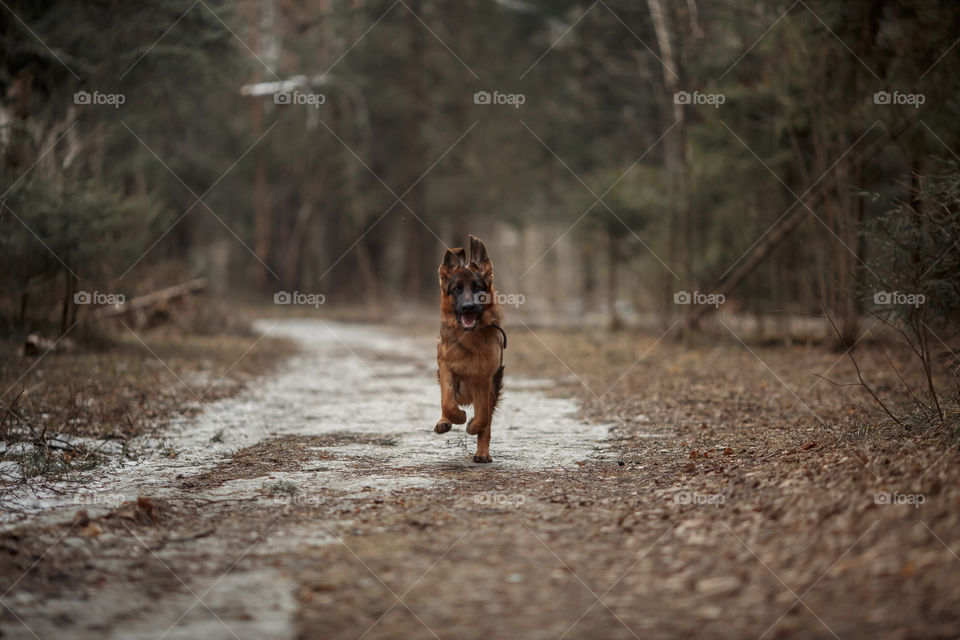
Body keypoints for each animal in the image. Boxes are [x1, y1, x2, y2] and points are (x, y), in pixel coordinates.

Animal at [436, 232, 506, 462]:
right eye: (457, 289)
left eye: (477, 288)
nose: (468, 307)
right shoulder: (445, 366)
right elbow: (447, 402)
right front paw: (456, 417)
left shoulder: (484, 378)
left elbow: (484, 416)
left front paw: (473, 425)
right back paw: (444, 421)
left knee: (487, 420)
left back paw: (482, 453)